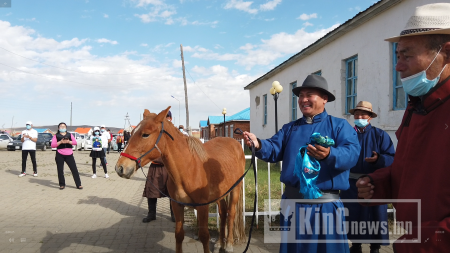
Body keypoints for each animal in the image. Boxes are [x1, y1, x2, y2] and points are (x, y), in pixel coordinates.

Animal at [114, 107, 244, 253]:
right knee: (222, 212)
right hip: (220, 194)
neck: (189, 168)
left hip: (235, 189)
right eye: (131, 133)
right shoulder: (177, 205)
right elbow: (179, 234)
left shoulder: (203, 207)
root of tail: (235, 143)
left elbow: (204, 236)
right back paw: (219, 244)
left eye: (145, 134)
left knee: (231, 213)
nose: (120, 167)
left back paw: (228, 244)